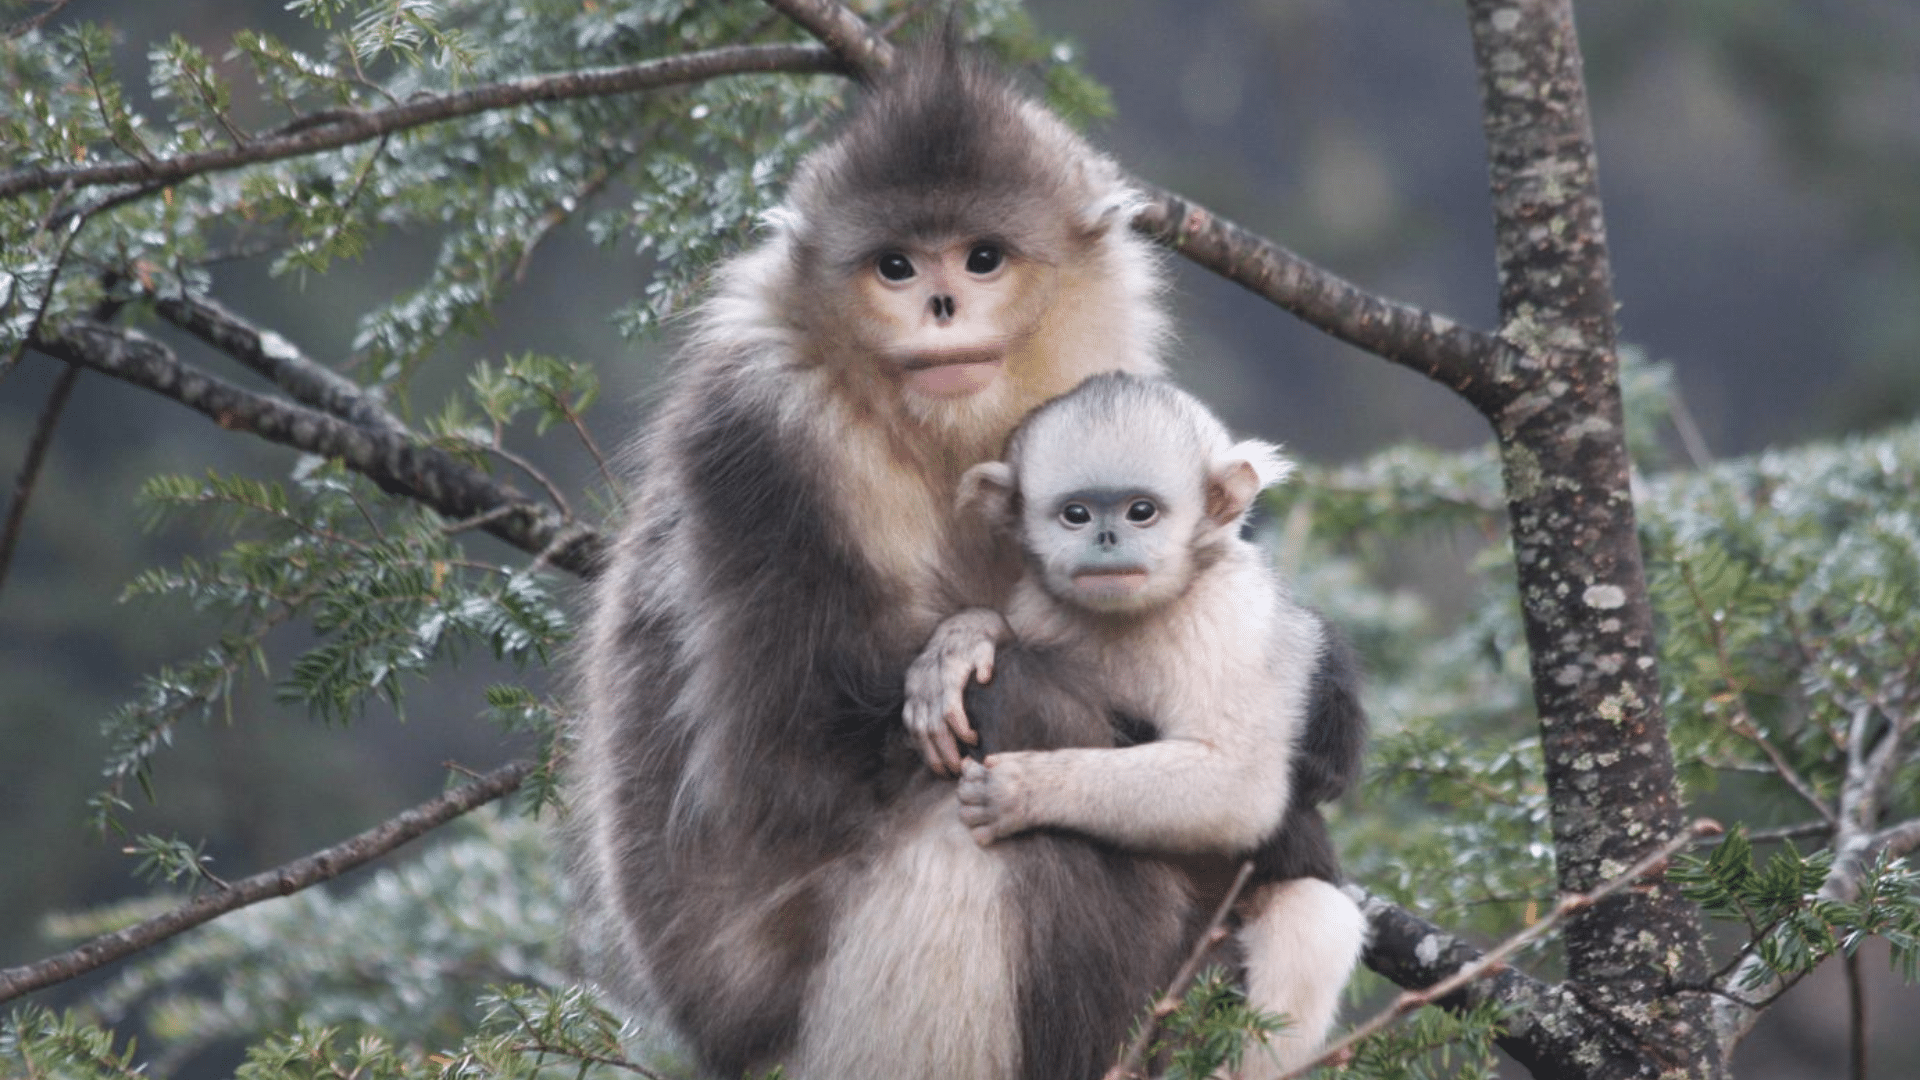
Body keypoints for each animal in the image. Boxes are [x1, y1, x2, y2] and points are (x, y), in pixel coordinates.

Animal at [902, 367, 1367, 1068]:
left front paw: (1027, 790)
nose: (1106, 538)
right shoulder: (1042, 607)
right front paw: (962, 644)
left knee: (1314, 914)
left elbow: (1236, 786)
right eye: (1076, 514)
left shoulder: (1227, 616)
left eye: (1140, 511)